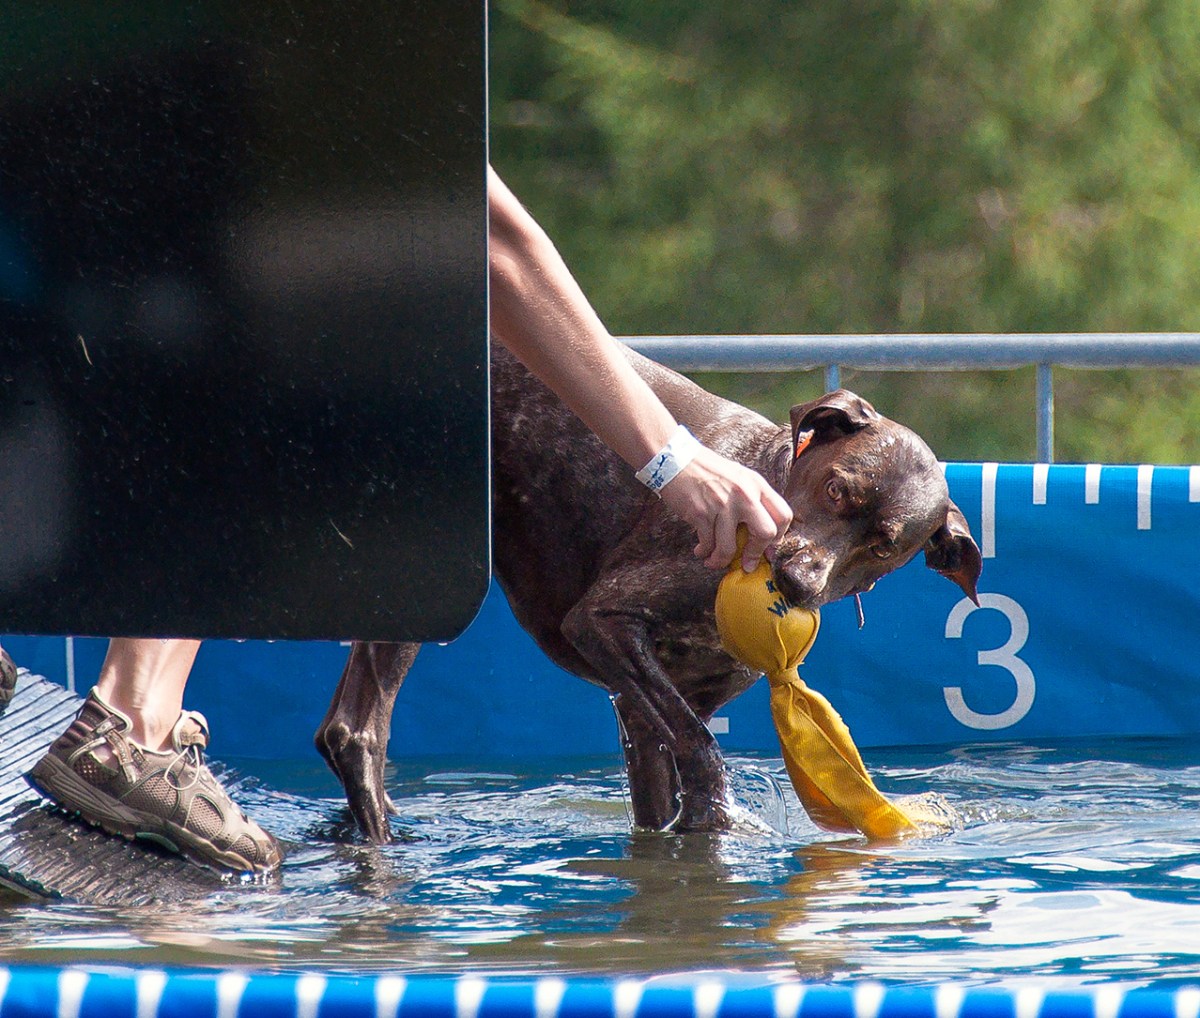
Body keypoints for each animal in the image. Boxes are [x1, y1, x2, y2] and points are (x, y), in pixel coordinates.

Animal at [315, 343, 982, 841]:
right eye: (838, 489)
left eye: (884, 546)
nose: (794, 582)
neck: (767, 477)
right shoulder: (601, 622)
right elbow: (704, 756)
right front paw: (715, 819)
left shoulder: (651, 711)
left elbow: (669, 784)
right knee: (356, 734)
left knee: (334, 733)